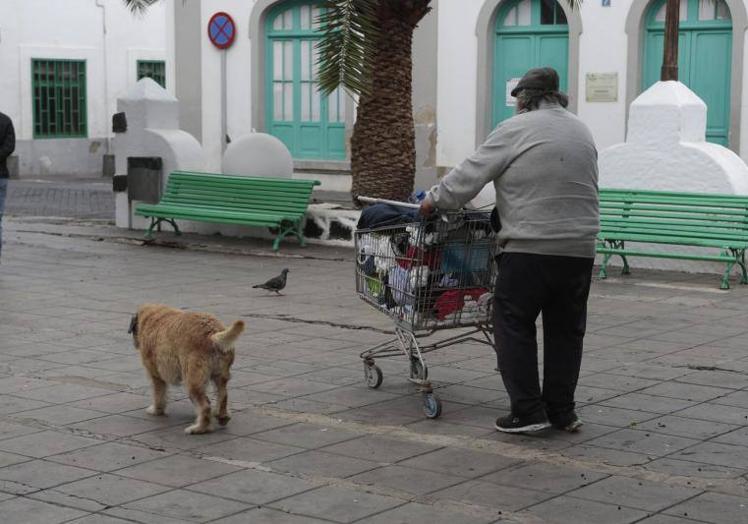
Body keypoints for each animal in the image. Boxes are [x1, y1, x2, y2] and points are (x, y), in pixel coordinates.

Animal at [129, 302, 244, 434]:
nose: (135, 344)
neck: (152, 316)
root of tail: (213, 335)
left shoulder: (156, 375)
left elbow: (159, 394)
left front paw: (157, 410)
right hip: (220, 375)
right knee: (223, 395)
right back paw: (222, 416)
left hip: (192, 380)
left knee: (205, 406)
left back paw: (200, 428)